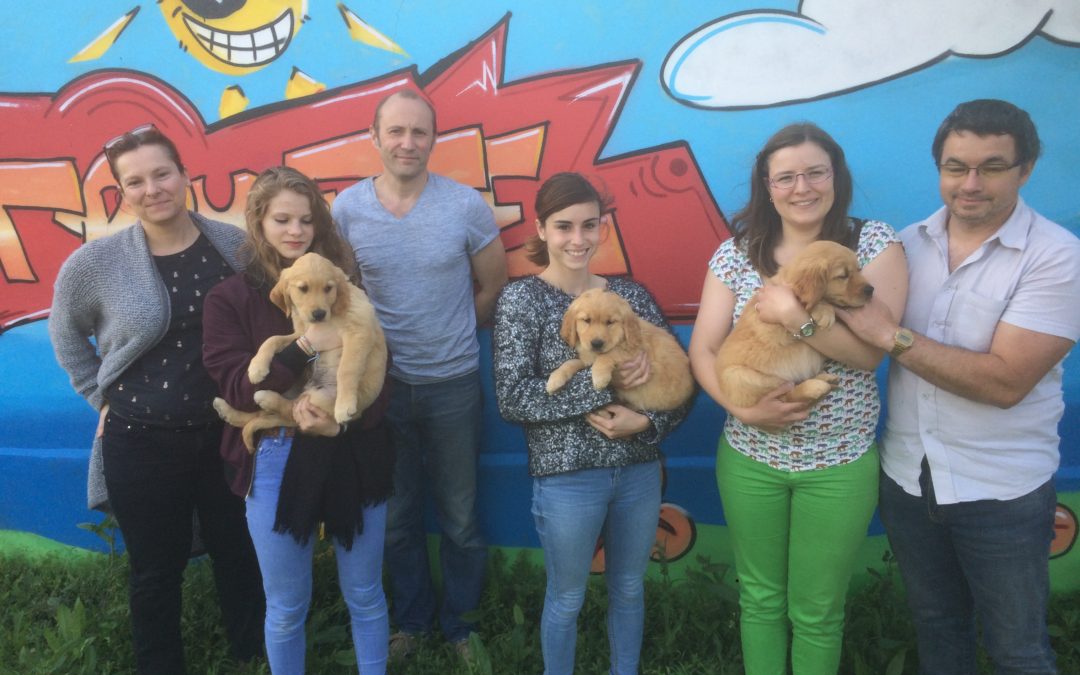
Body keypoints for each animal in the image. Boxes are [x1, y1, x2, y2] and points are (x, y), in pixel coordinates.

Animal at [212, 254, 386, 449]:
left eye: (328, 288)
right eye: (303, 289)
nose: (319, 314)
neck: (333, 311)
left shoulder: (358, 333)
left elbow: (347, 370)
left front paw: (344, 406)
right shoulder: (301, 335)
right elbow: (272, 339)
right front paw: (256, 367)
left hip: (320, 398)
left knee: (290, 411)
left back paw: (265, 398)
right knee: (268, 414)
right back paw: (228, 409)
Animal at [548, 285, 691, 410]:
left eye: (610, 322)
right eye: (587, 320)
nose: (596, 343)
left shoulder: (635, 352)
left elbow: (609, 354)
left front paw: (599, 376)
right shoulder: (586, 360)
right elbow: (571, 362)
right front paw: (555, 378)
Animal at [717, 239, 876, 408]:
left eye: (859, 270)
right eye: (843, 276)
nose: (871, 290)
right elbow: (810, 301)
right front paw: (824, 311)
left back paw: (824, 379)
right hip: (738, 377)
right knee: (785, 396)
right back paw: (814, 387)